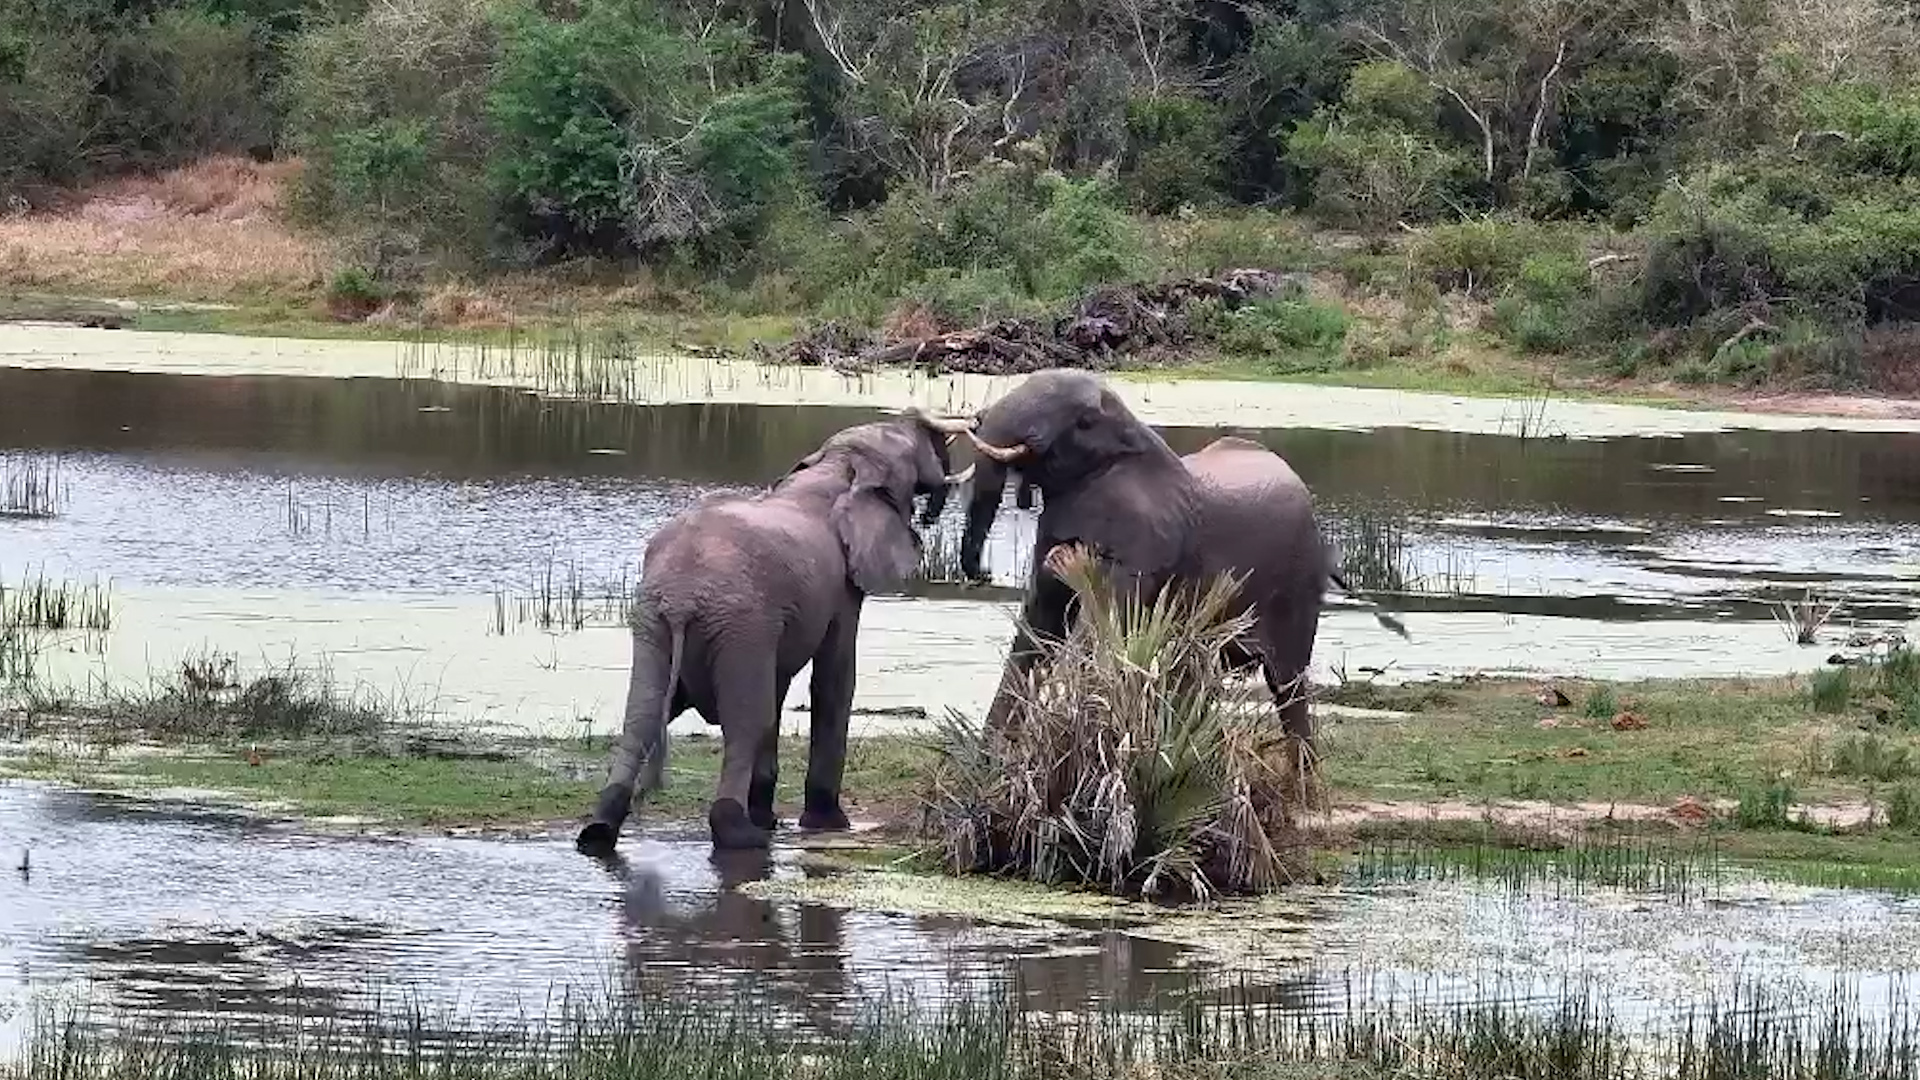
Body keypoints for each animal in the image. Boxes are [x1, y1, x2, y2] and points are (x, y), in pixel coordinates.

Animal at [577, 407, 976, 854]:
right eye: (908, 446)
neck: (838, 464)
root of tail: (682, 597)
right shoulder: (841, 586)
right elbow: (835, 679)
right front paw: (828, 825)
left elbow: (781, 682)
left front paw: (770, 817)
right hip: (737, 620)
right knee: (746, 720)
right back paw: (741, 835)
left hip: (655, 622)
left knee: (643, 715)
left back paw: (599, 830)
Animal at [956, 369, 1342, 743]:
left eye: (1082, 422)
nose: (983, 574)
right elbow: (1037, 627)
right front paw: (989, 759)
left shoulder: (1144, 544)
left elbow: (1100, 627)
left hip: (1299, 584)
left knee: (1287, 683)